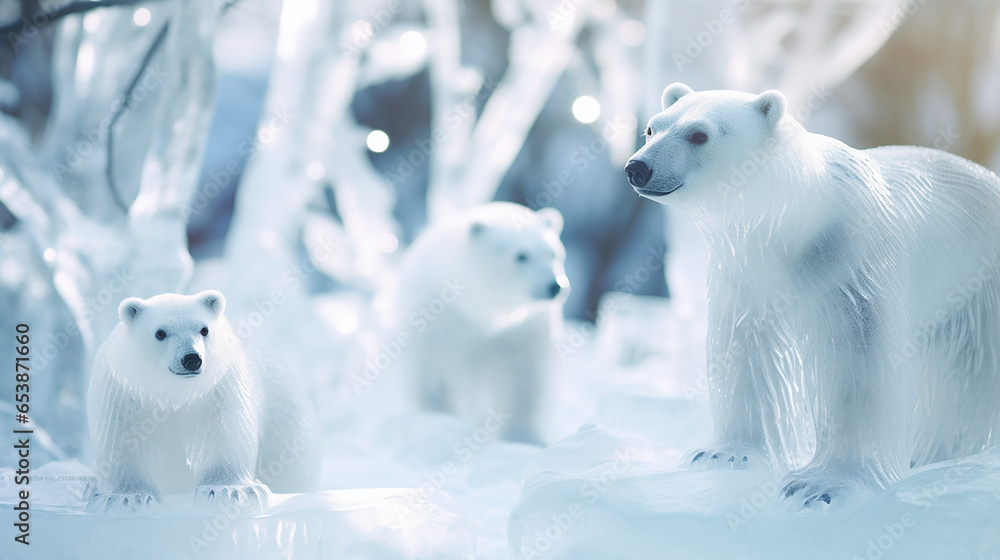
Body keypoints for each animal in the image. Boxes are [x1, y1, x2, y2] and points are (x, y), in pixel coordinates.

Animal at [86, 290, 320, 514]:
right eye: (160, 333)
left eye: (204, 329)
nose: (191, 359)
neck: (173, 394)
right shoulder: (125, 391)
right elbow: (123, 438)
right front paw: (125, 498)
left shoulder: (219, 387)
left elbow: (224, 432)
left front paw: (230, 492)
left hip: (284, 426)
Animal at [385, 202, 569, 443]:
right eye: (521, 256)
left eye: (553, 253)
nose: (554, 286)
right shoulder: (434, 326)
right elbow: (432, 381)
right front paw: (440, 424)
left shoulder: (521, 333)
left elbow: (523, 383)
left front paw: (524, 437)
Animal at [625, 83, 1000, 508]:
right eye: (652, 128)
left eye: (699, 134)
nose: (637, 168)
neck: (797, 220)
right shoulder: (744, 271)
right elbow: (746, 350)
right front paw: (722, 453)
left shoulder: (852, 263)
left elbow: (857, 364)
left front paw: (822, 484)